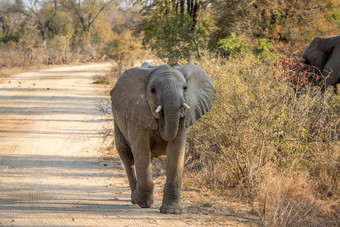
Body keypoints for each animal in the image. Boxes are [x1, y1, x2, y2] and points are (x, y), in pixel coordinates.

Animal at [109, 61, 215, 213]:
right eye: (153, 90)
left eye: (185, 88)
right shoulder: (138, 112)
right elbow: (141, 150)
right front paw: (143, 203)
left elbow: (176, 151)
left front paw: (172, 211)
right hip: (118, 123)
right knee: (127, 157)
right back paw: (135, 199)